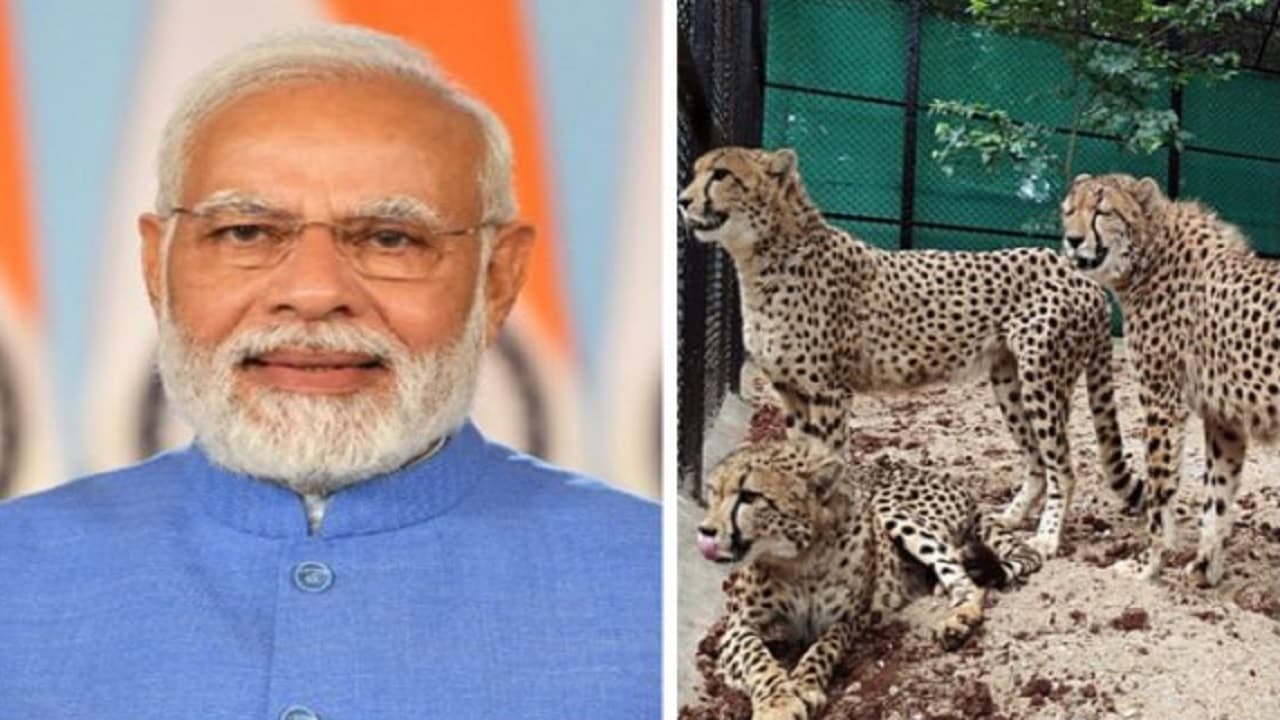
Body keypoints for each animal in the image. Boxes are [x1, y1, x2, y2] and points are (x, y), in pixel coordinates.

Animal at [678, 146, 1141, 557]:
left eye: (721, 174)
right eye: (697, 171)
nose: (683, 200)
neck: (762, 258)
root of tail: (1083, 277)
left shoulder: (828, 393)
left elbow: (830, 459)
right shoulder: (790, 391)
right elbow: (799, 462)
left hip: (1042, 381)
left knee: (1063, 466)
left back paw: (1046, 537)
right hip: (1009, 384)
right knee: (1037, 460)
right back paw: (1010, 516)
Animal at [695, 436, 1042, 720]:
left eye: (749, 496)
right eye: (712, 493)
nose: (705, 531)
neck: (801, 559)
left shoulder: (851, 618)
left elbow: (824, 648)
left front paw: (804, 686)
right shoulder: (736, 628)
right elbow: (757, 658)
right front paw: (777, 704)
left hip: (892, 510)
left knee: (962, 571)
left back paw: (959, 618)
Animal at [1060, 173, 1280, 587]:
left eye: (1102, 211)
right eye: (1069, 211)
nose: (1073, 239)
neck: (1150, 254)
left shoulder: (1162, 403)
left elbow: (1160, 493)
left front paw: (1147, 563)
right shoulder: (1223, 418)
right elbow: (1218, 494)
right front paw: (1205, 568)